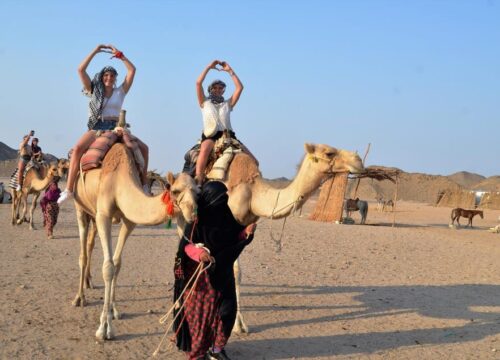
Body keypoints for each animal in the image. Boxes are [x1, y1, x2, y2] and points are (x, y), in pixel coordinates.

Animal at [72, 143, 197, 340]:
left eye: (198, 192)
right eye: (175, 191)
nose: (192, 212)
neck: (119, 180)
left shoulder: (129, 221)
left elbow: (117, 263)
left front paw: (113, 311)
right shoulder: (103, 215)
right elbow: (108, 268)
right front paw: (104, 328)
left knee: (91, 246)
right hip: (80, 207)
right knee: (83, 254)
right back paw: (80, 298)